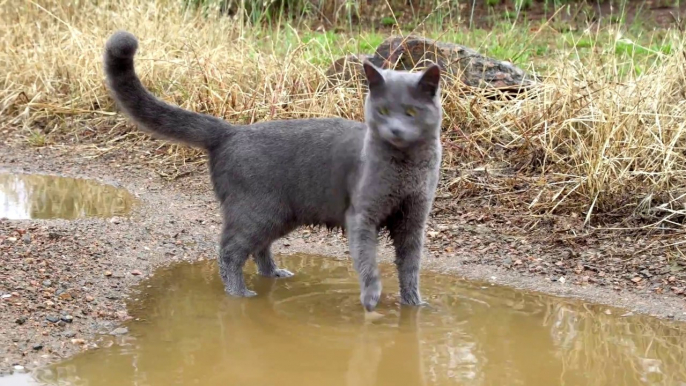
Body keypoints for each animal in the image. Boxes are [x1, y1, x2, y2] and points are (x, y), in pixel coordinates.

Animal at [105, 30, 444, 310]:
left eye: (411, 112)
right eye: (383, 110)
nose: (395, 130)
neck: (406, 169)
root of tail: (231, 132)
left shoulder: (414, 218)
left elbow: (410, 265)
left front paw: (414, 304)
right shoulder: (362, 216)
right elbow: (367, 260)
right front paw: (371, 299)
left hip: (280, 214)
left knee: (258, 247)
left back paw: (274, 274)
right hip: (259, 210)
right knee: (230, 250)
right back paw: (239, 292)